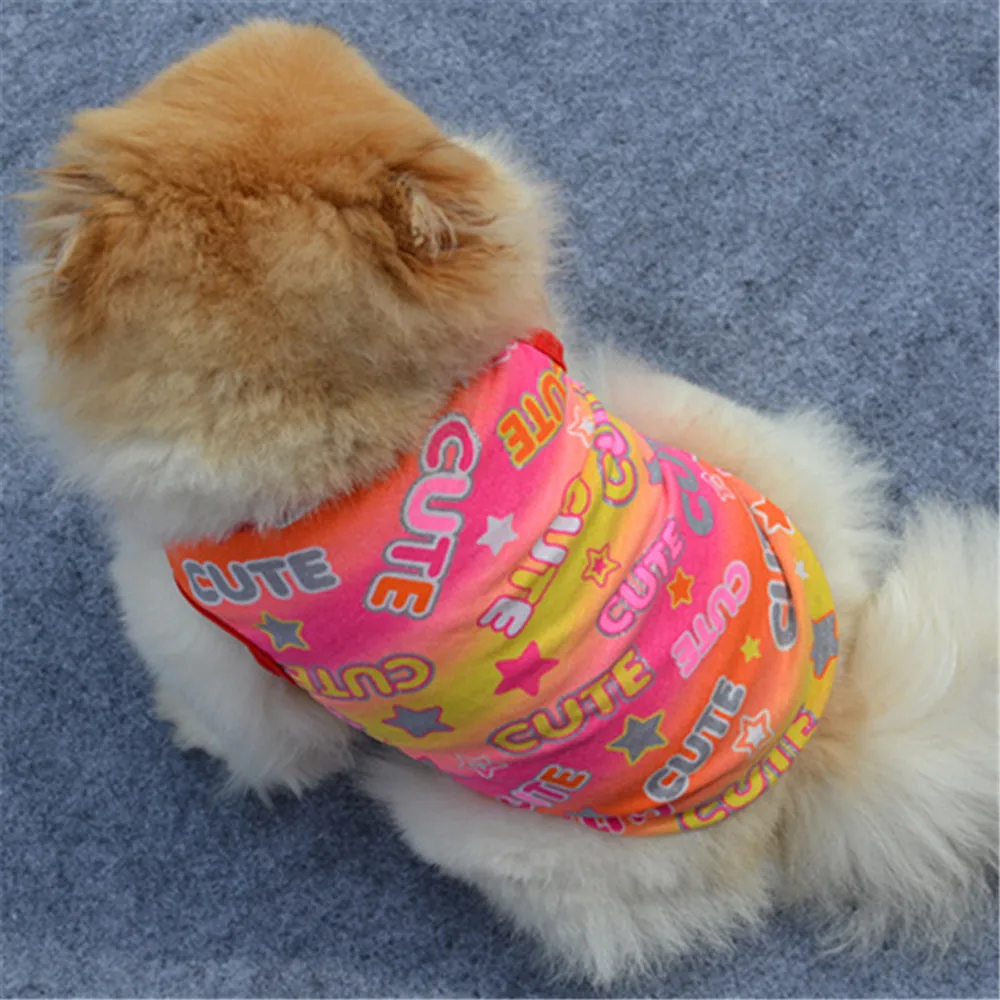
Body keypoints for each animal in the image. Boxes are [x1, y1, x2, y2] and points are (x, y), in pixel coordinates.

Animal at [8, 19, 997, 985]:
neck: (367, 427)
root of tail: (803, 750)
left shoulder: (205, 647)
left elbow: (261, 745)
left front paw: (185, 730)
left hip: (476, 826)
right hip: (727, 445)